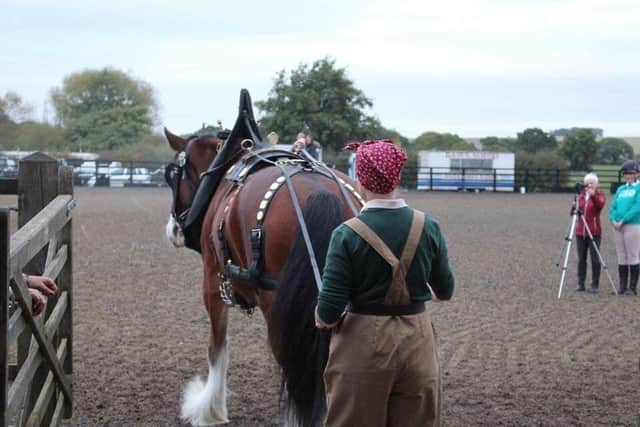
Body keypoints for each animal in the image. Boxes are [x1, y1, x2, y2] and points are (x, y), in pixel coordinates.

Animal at [165, 89, 362, 424]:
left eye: (173, 176)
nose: (172, 229)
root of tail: (321, 192)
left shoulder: (212, 281)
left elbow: (217, 348)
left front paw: (208, 409)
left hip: (278, 305)